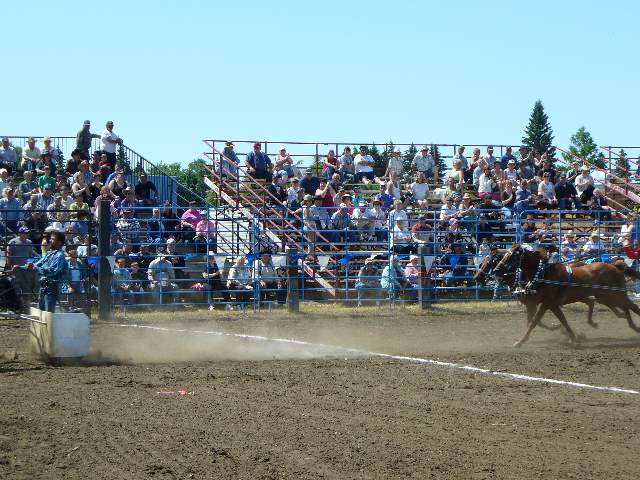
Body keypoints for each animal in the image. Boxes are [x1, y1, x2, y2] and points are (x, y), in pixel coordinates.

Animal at [490, 246, 640, 346]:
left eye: (511, 256)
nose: (496, 270)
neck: (543, 274)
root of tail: (615, 266)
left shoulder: (545, 304)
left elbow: (534, 322)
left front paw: (520, 342)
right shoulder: (551, 305)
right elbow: (562, 321)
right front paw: (573, 338)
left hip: (615, 295)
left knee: (632, 307)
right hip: (606, 297)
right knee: (624, 307)